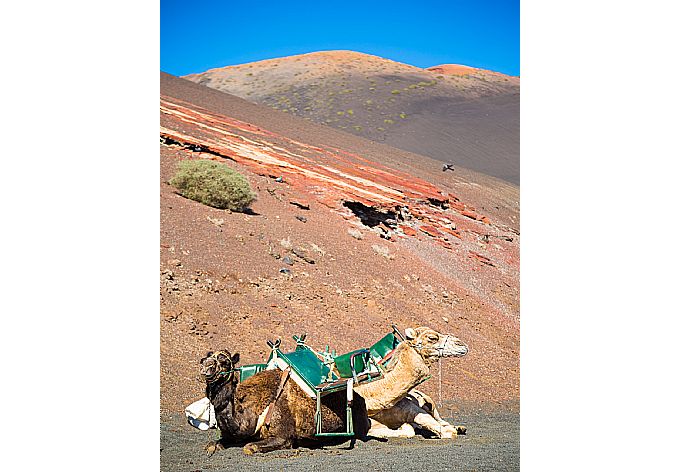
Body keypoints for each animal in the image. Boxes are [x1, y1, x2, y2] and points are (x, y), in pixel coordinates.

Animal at [200, 348, 370, 456]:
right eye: (206, 357)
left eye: (224, 361)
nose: (206, 366)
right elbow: (211, 444)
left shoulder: (283, 437)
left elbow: (249, 447)